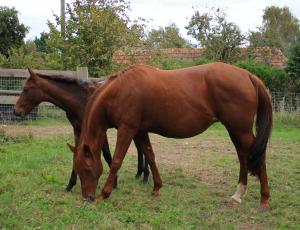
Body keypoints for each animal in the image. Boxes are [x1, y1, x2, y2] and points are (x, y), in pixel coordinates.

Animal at [14, 69, 150, 191]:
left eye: (25, 89)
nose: (16, 111)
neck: (80, 99)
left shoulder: (100, 130)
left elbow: (106, 154)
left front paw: (114, 183)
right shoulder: (78, 129)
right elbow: (76, 153)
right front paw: (70, 184)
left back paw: (145, 177)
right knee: (141, 149)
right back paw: (140, 174)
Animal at [69, 62, 274, 210]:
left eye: (86, 169)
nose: (87, 197)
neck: (119, 92)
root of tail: (248, 75)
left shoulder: (127, 129)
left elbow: (117, 161)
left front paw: (104, 194)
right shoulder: (140, 131)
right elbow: (150, 156)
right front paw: (157, 187)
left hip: (241, 131)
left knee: (258, 157)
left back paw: (264, 200)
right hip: (235, 131)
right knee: (243, 156)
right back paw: (238, 194)